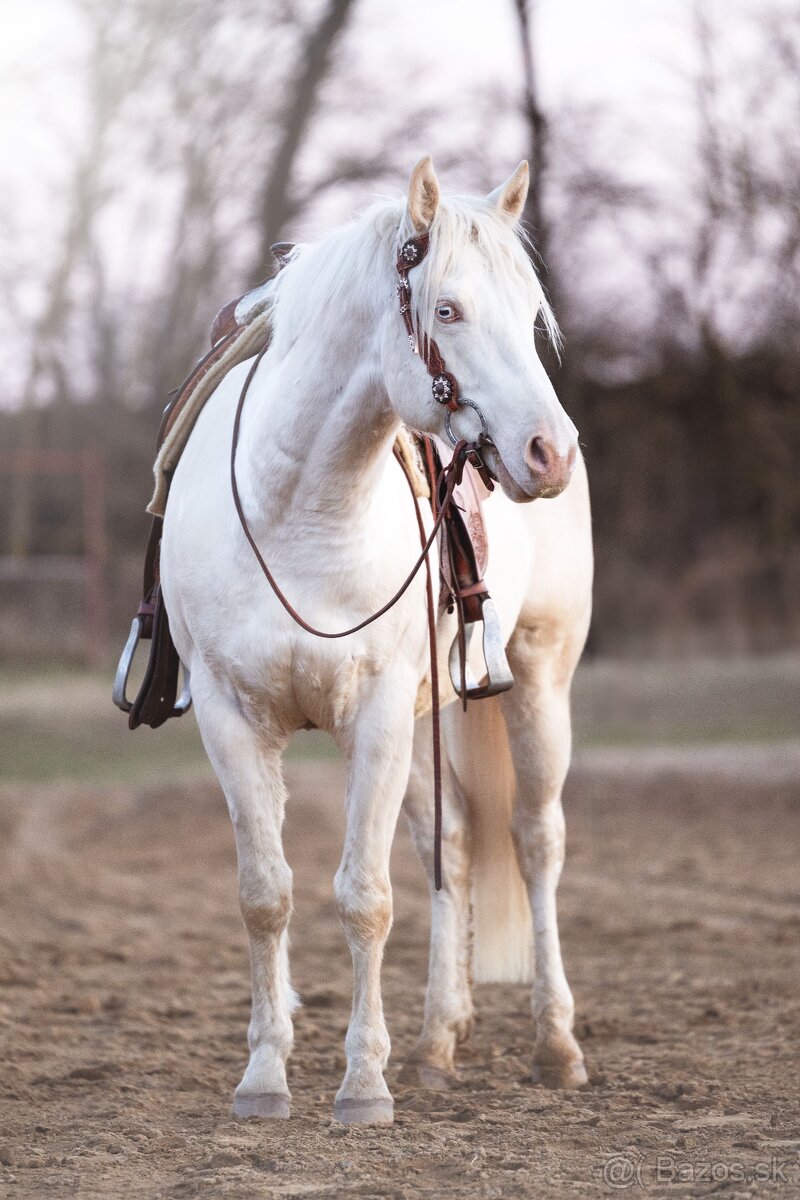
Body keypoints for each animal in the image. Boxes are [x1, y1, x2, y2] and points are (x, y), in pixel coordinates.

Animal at [159, 154, 594, 1118]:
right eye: (447, 310)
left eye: (531, 314)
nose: (549, 451)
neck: (299, 508)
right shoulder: (232, 719)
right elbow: (265, 895)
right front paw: (264, 1077)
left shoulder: (380, 715)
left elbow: (365, 897)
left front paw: (362, 1085)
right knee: (454, 850)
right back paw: (436, 1042)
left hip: (540, 678)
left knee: (537, 842)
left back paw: (554, 1045)